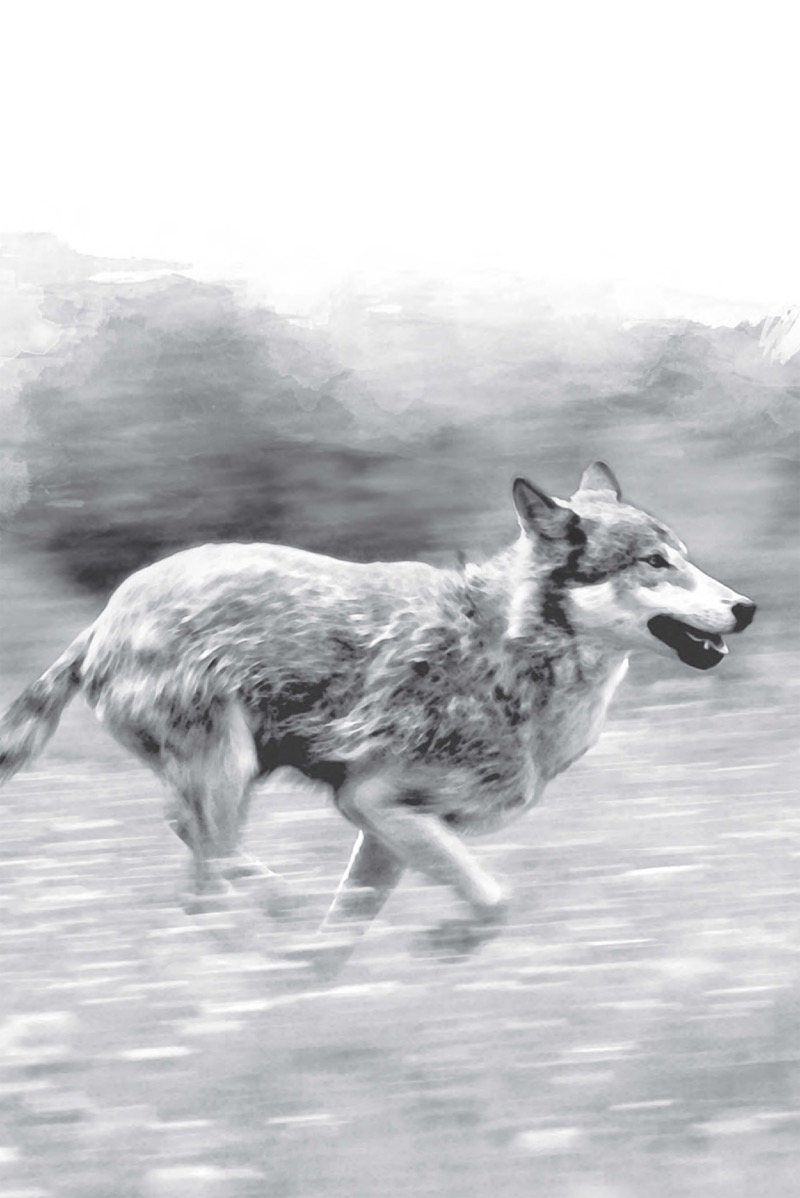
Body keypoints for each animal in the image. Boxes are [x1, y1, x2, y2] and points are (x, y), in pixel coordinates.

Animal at [0, 463, 755, 969]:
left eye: (685, 558)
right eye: (654, 563)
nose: (746, 607)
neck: (506, 653)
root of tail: (107, 616)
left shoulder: (386, 834)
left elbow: (346, 935)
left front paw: (311, 987)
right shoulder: (375, 804)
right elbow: (495, 901)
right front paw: (442, 944)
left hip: (228, 776)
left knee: (195, 863)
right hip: (229, 767)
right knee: (210, 861)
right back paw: (268, 912)